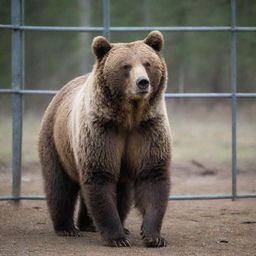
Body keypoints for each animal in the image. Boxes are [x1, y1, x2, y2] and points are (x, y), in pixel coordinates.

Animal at [38, 30, 172, 248]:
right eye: (126, 66)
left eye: (147, 64)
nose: (142, 82)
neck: (129, 117)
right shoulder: (100, 130)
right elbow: (99, 176)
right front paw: (117, 238)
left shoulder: (148, 129)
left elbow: (152, 174)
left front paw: (154, 236)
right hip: (56, 140)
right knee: (59, 184)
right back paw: (67, 228)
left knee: (122, 193)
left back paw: (93, 224)